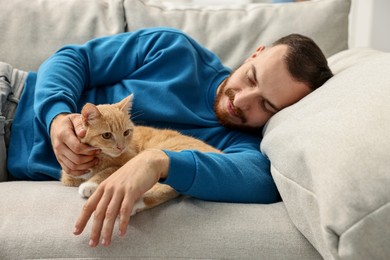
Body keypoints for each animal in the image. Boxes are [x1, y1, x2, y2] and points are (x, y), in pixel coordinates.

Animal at [60, 94, 219, 214]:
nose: (121, 147)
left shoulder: (129, 160)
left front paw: (90, 184)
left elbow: (109, 170)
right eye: (106, 135)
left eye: (126, 132)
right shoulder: (69, 176)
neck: (100, 156)